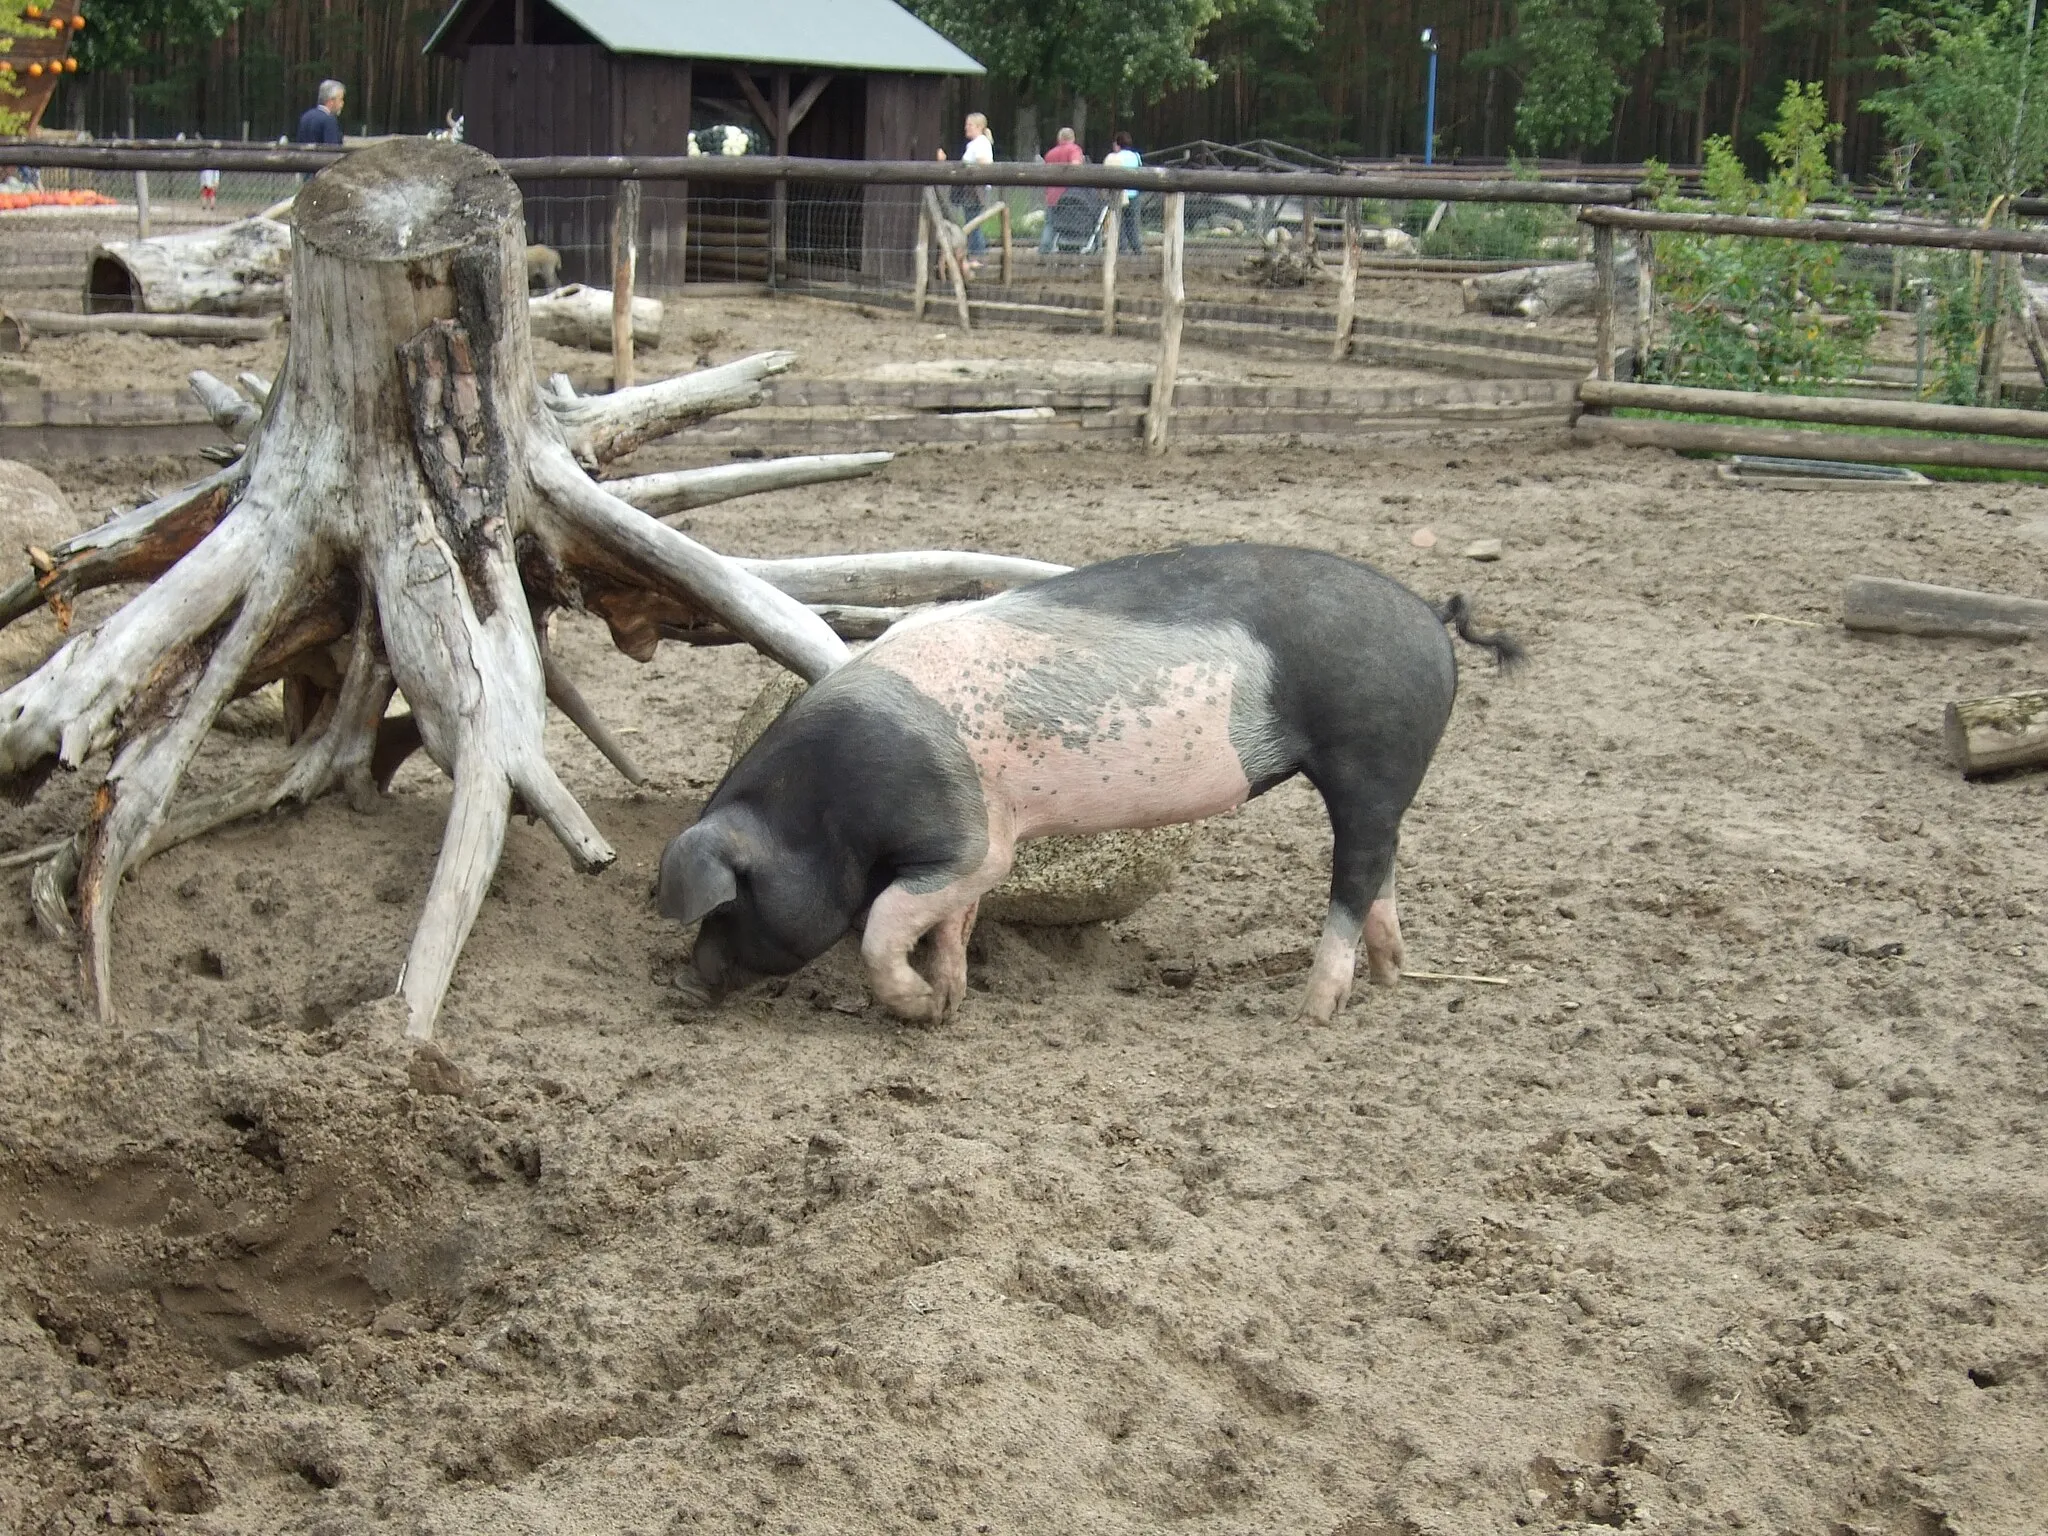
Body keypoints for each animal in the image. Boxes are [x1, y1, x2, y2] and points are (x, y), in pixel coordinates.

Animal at [659, 548, 1523, 1028]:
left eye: (729, 901)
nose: (687, 987)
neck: (822, 805)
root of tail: (1429, 613)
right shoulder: (983, 845)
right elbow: (952, 925)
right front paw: (948, 1006)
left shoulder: (963, 840)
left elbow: (882, 927)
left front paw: (915, 1008)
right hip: (1385, 779)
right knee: (1382, 868)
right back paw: (1389, 980)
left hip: (1371, 756)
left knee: (1354, 872)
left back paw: (1309, 1017)